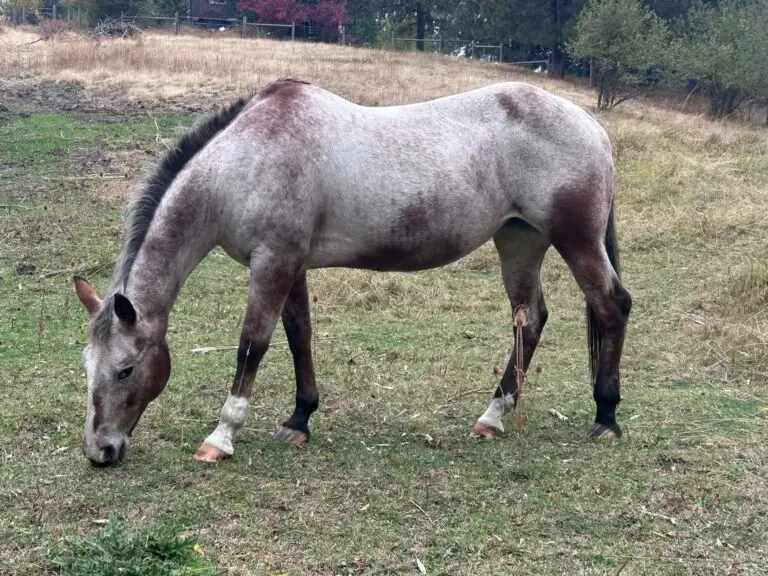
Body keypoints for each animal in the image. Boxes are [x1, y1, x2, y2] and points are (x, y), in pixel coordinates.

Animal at [73, 78, 632, 466]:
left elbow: (253, 344)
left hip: (576, 241)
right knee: (529, 319)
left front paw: (222, 436)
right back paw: (493, 416)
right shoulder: (290, 265)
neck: (244, 162)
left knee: (612, 306)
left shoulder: (272, 264)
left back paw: (606, 416)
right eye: (86, 366)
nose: (100, 451)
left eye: (125, 369)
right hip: (519, 241)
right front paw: (300, 418)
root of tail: (593, 126)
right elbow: (298, 336)